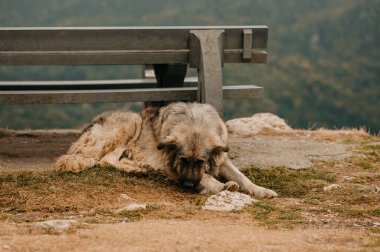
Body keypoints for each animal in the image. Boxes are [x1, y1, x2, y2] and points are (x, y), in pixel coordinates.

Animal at [54, 101, 276, 198]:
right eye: (182, 160)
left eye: (200, 162)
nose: (188, 185)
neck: (195, 122)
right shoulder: (171, 167)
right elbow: (209, 179)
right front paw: (220, 185)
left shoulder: (222, 159)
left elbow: (242, 177)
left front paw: (260, 189)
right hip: (132, 121)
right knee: (106, 159)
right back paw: (136, 169)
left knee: (114, 159)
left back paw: (140, 168)